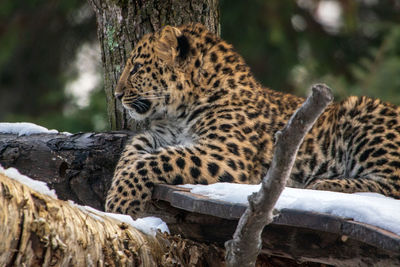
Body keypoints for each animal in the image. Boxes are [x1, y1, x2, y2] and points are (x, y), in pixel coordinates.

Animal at [105, 24, 400, 219]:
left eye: (136, 68)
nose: (117, 95)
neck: (178, 112)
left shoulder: (225, 153)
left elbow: (156, 160)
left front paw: (120, 204)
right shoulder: (161, 135)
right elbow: (132, 151)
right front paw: (114, 192)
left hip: (362, 111)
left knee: (392, 186)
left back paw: (325, 183)